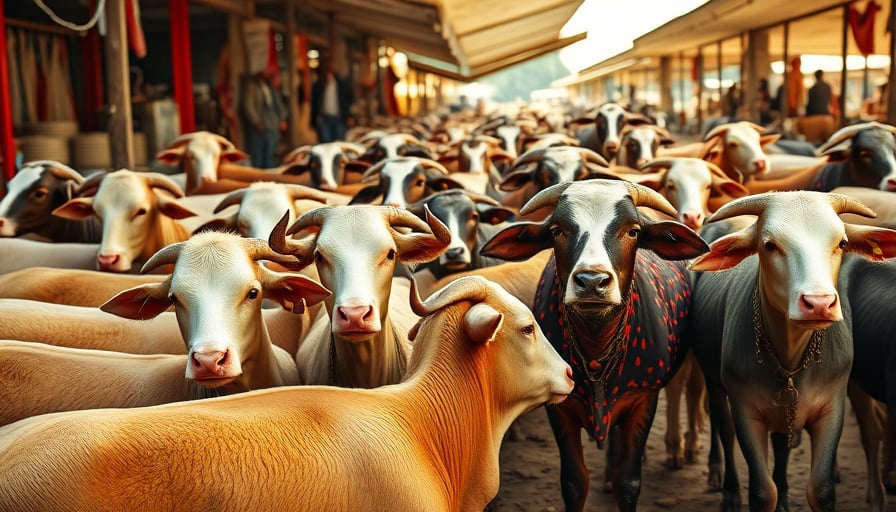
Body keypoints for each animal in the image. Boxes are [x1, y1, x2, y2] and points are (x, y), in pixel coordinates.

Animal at [480, 179, 709, 511]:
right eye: (557, 230)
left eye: (633, 231)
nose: (591, 281)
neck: (595, 345)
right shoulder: (560, 407)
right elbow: (575, 482)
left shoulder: (643, 400)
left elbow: (628, 482)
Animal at [688, 191, 896, 511]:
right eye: (769, 245)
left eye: (842, 243)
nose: (818, 303)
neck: (789, 357)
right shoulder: (745, 409)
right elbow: (762, 492)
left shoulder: (831, 407)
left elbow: (820, 489)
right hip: (712, 380)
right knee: (723, 428)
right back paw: (727, 487)